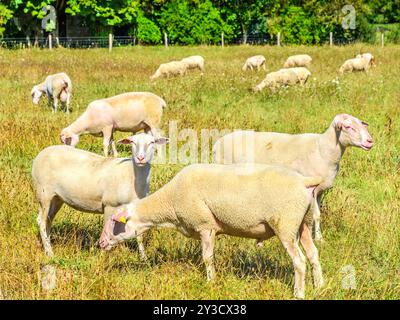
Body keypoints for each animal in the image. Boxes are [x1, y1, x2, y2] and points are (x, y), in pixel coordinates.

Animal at [31, 131, 169, 258]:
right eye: (132, 142)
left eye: (152, 142)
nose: (140, 158)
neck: (131, 175)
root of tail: (41, 153)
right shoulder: (109, 205)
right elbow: (106, 230)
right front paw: (103, 256)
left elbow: (138, 234)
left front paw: (143, 257)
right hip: (43, 193)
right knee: (41, 221)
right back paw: (50, 253)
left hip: (56, 198)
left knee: (48, 221)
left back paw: (48, 246)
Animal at [100, 164, 324, 298]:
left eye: (114, 222)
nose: (101, 243)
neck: (170, 202)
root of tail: (304, 182)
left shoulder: (205, 225)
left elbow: (207, 257)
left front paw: (210, 281)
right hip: (304, 223)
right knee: (313, 254)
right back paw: (319, 286)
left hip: (286, 225)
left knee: (299, 261)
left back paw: (299, 293)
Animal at [214, 114, 374, 241]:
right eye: (348, 126)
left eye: (361, 124)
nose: (370, 141)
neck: (323, 150)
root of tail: (217, 143)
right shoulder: (311, 189)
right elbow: (313, 215)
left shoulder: (320, 191)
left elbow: (318, 215)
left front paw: (317, 237)